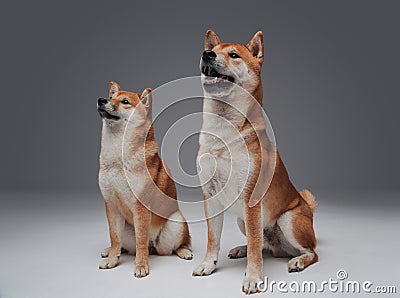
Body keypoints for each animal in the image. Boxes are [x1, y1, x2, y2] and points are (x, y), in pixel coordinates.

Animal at [96, 81, 191, 278]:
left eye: (125, 101)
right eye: (110, 97)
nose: (101, 100)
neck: (118, 158)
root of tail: (153, 246)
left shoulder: (140, 206)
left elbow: (141, 240)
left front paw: (140, 265)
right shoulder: (110, 204)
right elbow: (114, 237)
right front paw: (112, 259)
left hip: (176, 222)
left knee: (175, 245)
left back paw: (184, 251)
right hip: (126, 229)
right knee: (123, 244)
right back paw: (109, 251)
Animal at [192, 29, 318, 294]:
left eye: (233, 55)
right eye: (213, 50)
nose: (206, 53)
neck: (222, 133)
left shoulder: (251, 198)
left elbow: (254, 251)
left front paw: (253, 278)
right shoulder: (211, 196)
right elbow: (213, 238)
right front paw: (208, 264)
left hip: (288, 219)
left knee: (310, 251)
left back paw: (299, 261)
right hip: (244, 221)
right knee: (262, 244)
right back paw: (243, 248)